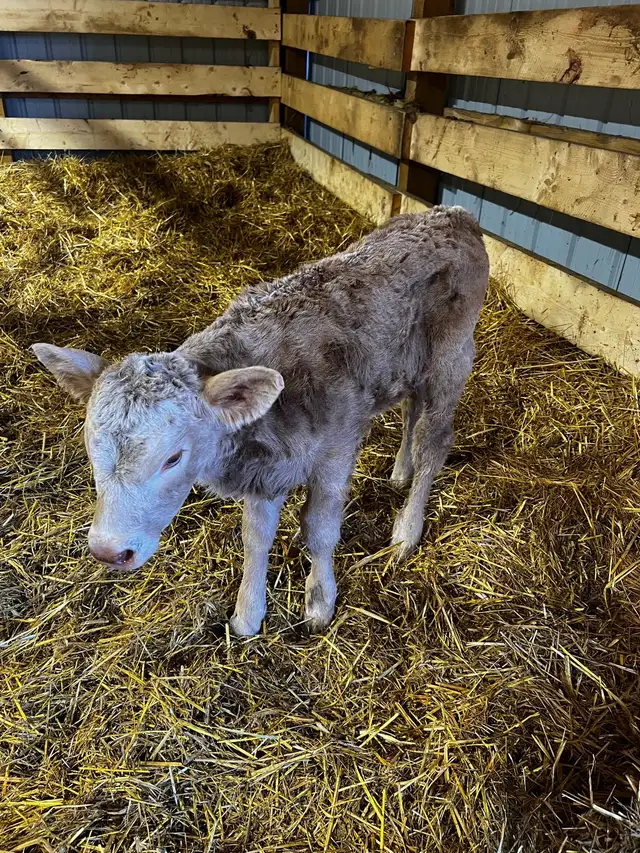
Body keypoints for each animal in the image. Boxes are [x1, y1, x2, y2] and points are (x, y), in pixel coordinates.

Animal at [32, 207, 489, 635]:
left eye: (173, 458)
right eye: (91, 448)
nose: (108, 552)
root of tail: (454, 214)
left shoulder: (335, 450)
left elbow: (320, 529)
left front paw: (319, 603)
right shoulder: (265, 469)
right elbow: (255, 539)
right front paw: (248, 615)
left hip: (450, 359)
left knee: (433, 442)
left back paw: (406, 530)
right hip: (408, 365)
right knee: (412, 412)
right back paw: (400, 471)